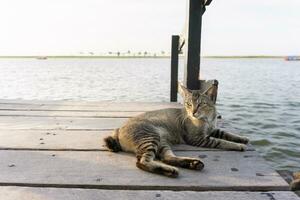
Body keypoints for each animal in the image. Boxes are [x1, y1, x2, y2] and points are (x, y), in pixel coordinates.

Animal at [104, 83, 250, 177]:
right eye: (188, 104)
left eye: (201, 104)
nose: (193, 112)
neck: (207, 118)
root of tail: (118, 130)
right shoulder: (199, 138)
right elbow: (221, 141)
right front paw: (238, 145)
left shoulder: (212, 129)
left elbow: (226, 133)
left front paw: (242, 138)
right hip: (151, 137)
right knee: (142, 162)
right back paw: (170, 170)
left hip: (162, 142)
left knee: (167, 158)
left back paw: (192, 163)